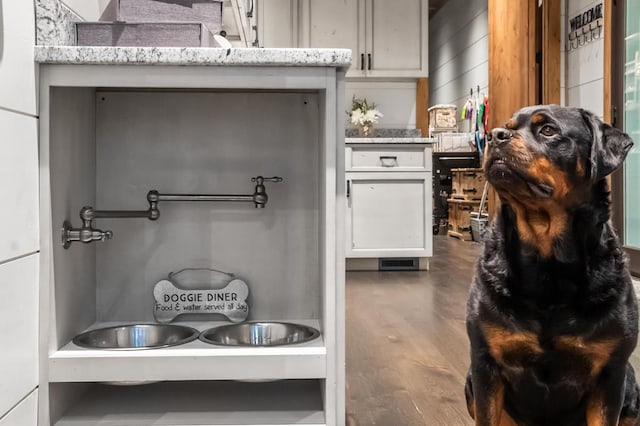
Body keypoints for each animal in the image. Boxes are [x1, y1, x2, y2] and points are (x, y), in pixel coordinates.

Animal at [464, 104, 640, 426]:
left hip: (631, 384)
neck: (547, 261)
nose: (494, 135)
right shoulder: (485, 363)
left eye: (548, 130)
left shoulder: (611, 373)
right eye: (506, 126)